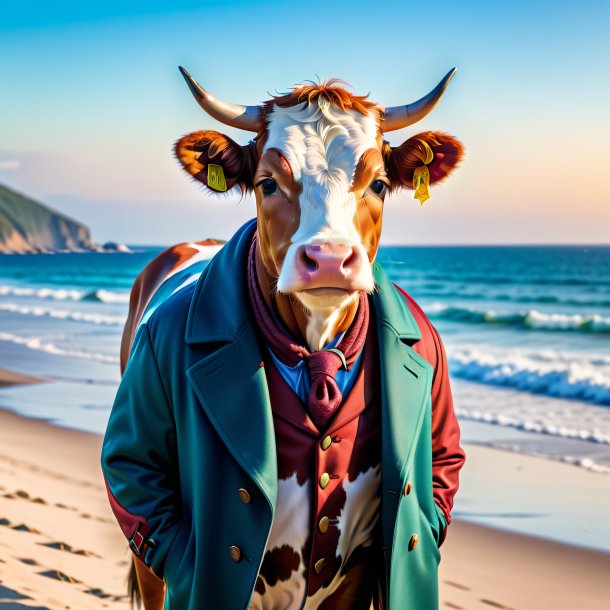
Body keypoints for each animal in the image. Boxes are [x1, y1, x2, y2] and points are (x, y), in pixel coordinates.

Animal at [103, 67, 466, 608]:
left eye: (379, 183)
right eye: (268, 183)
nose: (330, 258)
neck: (315, 346)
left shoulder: (355, 578)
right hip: (149, 557)